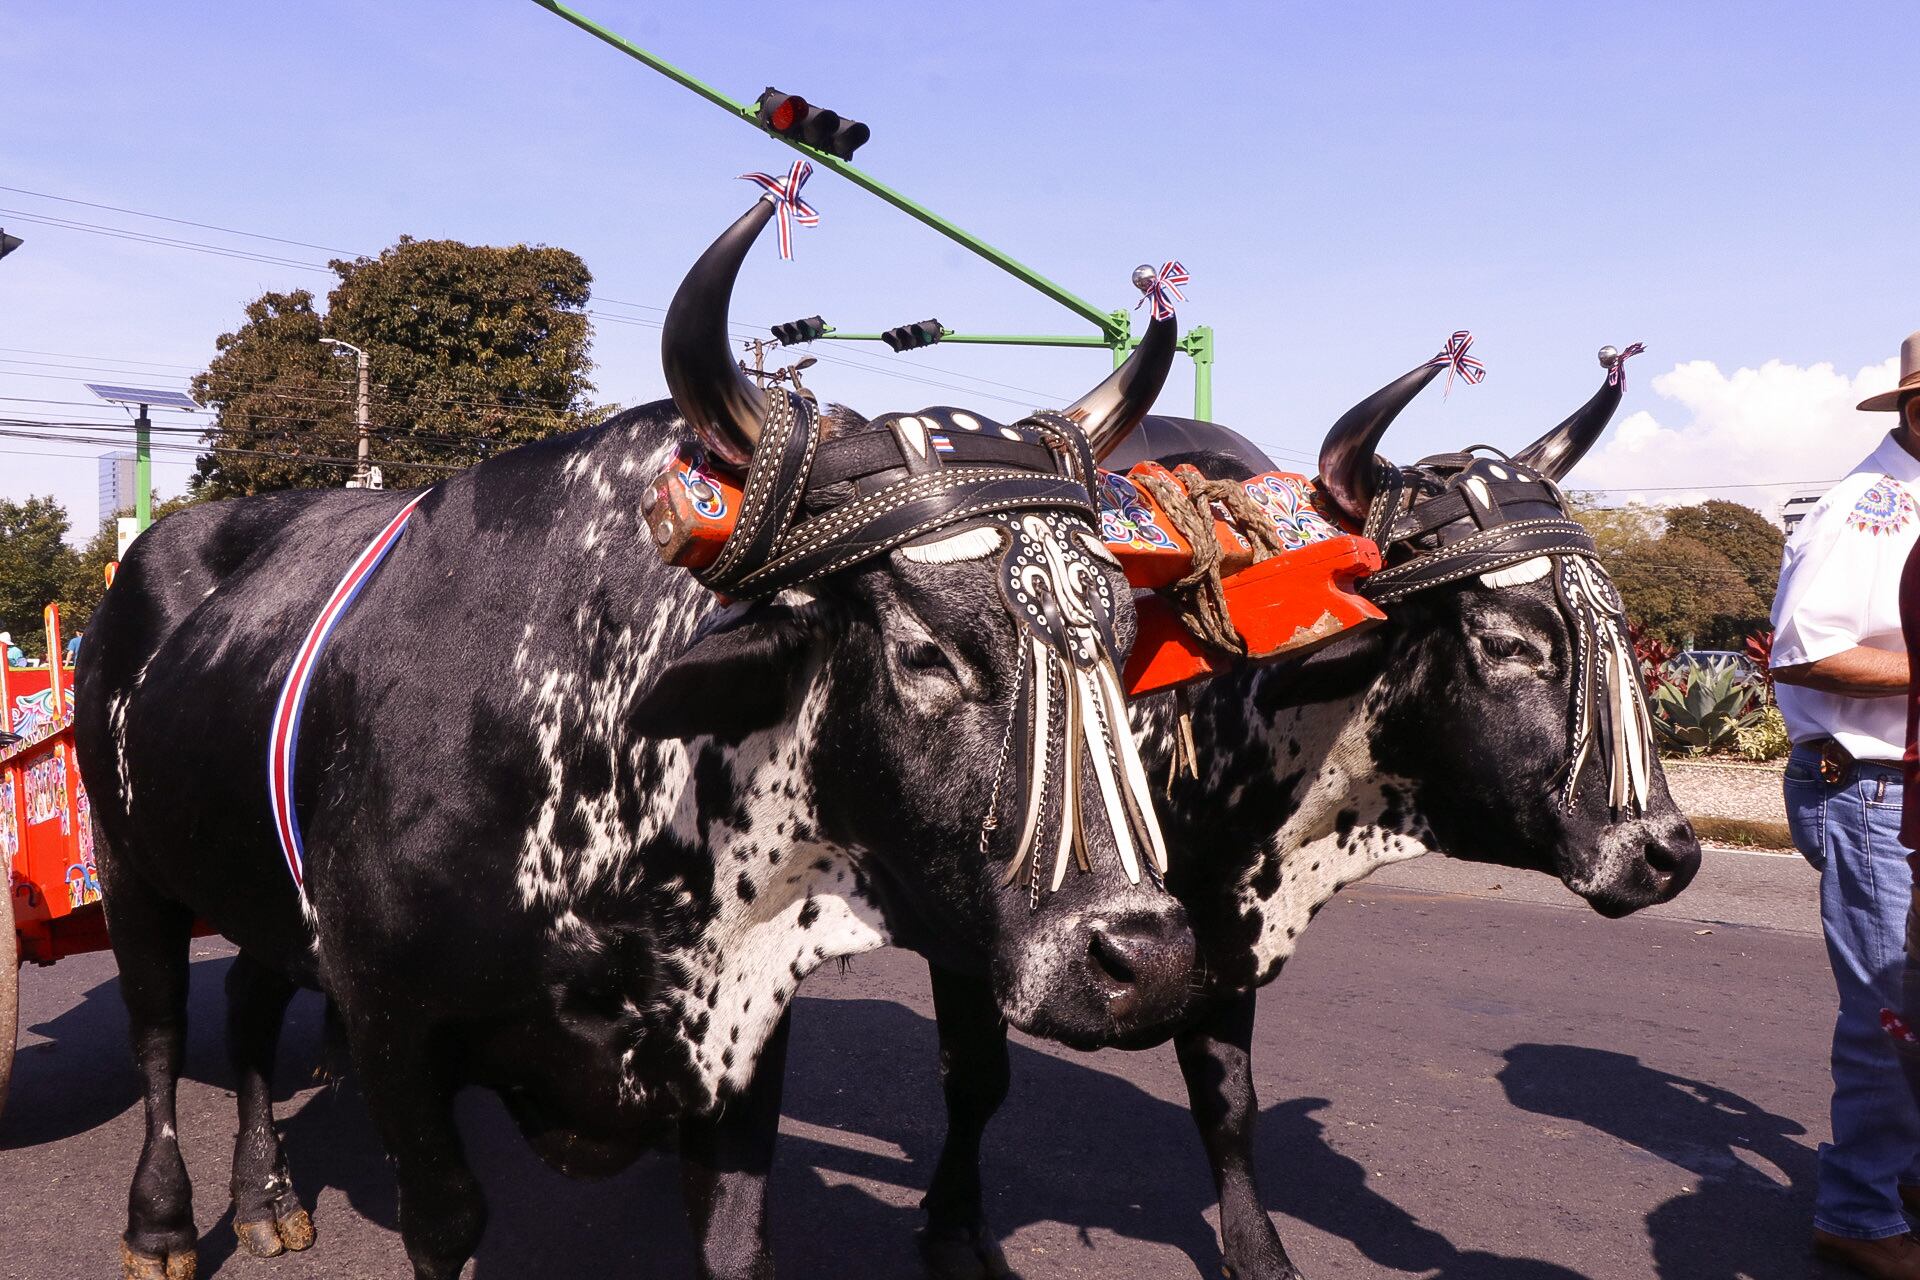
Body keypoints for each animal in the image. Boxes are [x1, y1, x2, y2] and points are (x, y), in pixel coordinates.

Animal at [72, 195, 1201, 1280]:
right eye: (924, 651)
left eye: (1122, 638)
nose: (1146, 959)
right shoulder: (392, 1023)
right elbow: (445, 1222)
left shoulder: (740, 1032)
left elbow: (737, 1239)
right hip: (131, 869)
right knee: (159, 1035)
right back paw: (163, 1224)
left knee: (249, 1008)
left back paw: (266, 1200)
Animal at [910, 348, 1705, 1280]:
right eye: (1510, 643)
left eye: (1619, 632)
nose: (1669, 853)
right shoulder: (963, 927)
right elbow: (975, 1080)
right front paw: (953, 1227)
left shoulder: (1223, 941)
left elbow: (1229, 1105)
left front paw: (1258, 1253)